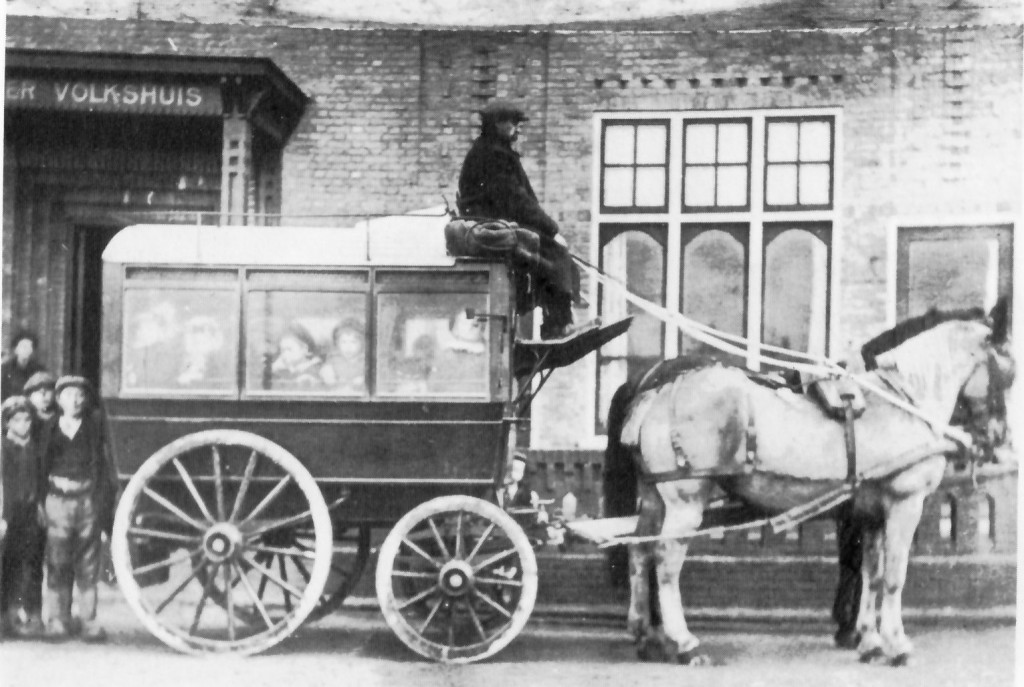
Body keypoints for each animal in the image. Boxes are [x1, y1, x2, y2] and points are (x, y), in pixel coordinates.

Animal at [602, 301, 1011, 667]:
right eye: (1008, 372)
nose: (998, 437)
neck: (901, 400)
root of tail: (658, 389)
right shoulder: (903, 502)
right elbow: (893, 577)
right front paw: (895, 644)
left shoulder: (870, 513)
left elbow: (872, 575)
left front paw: (869, 642)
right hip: (686, 501)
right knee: (666, 561)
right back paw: (685, 643)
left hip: (654, 497)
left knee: (639, 550)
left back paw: (647, 636)